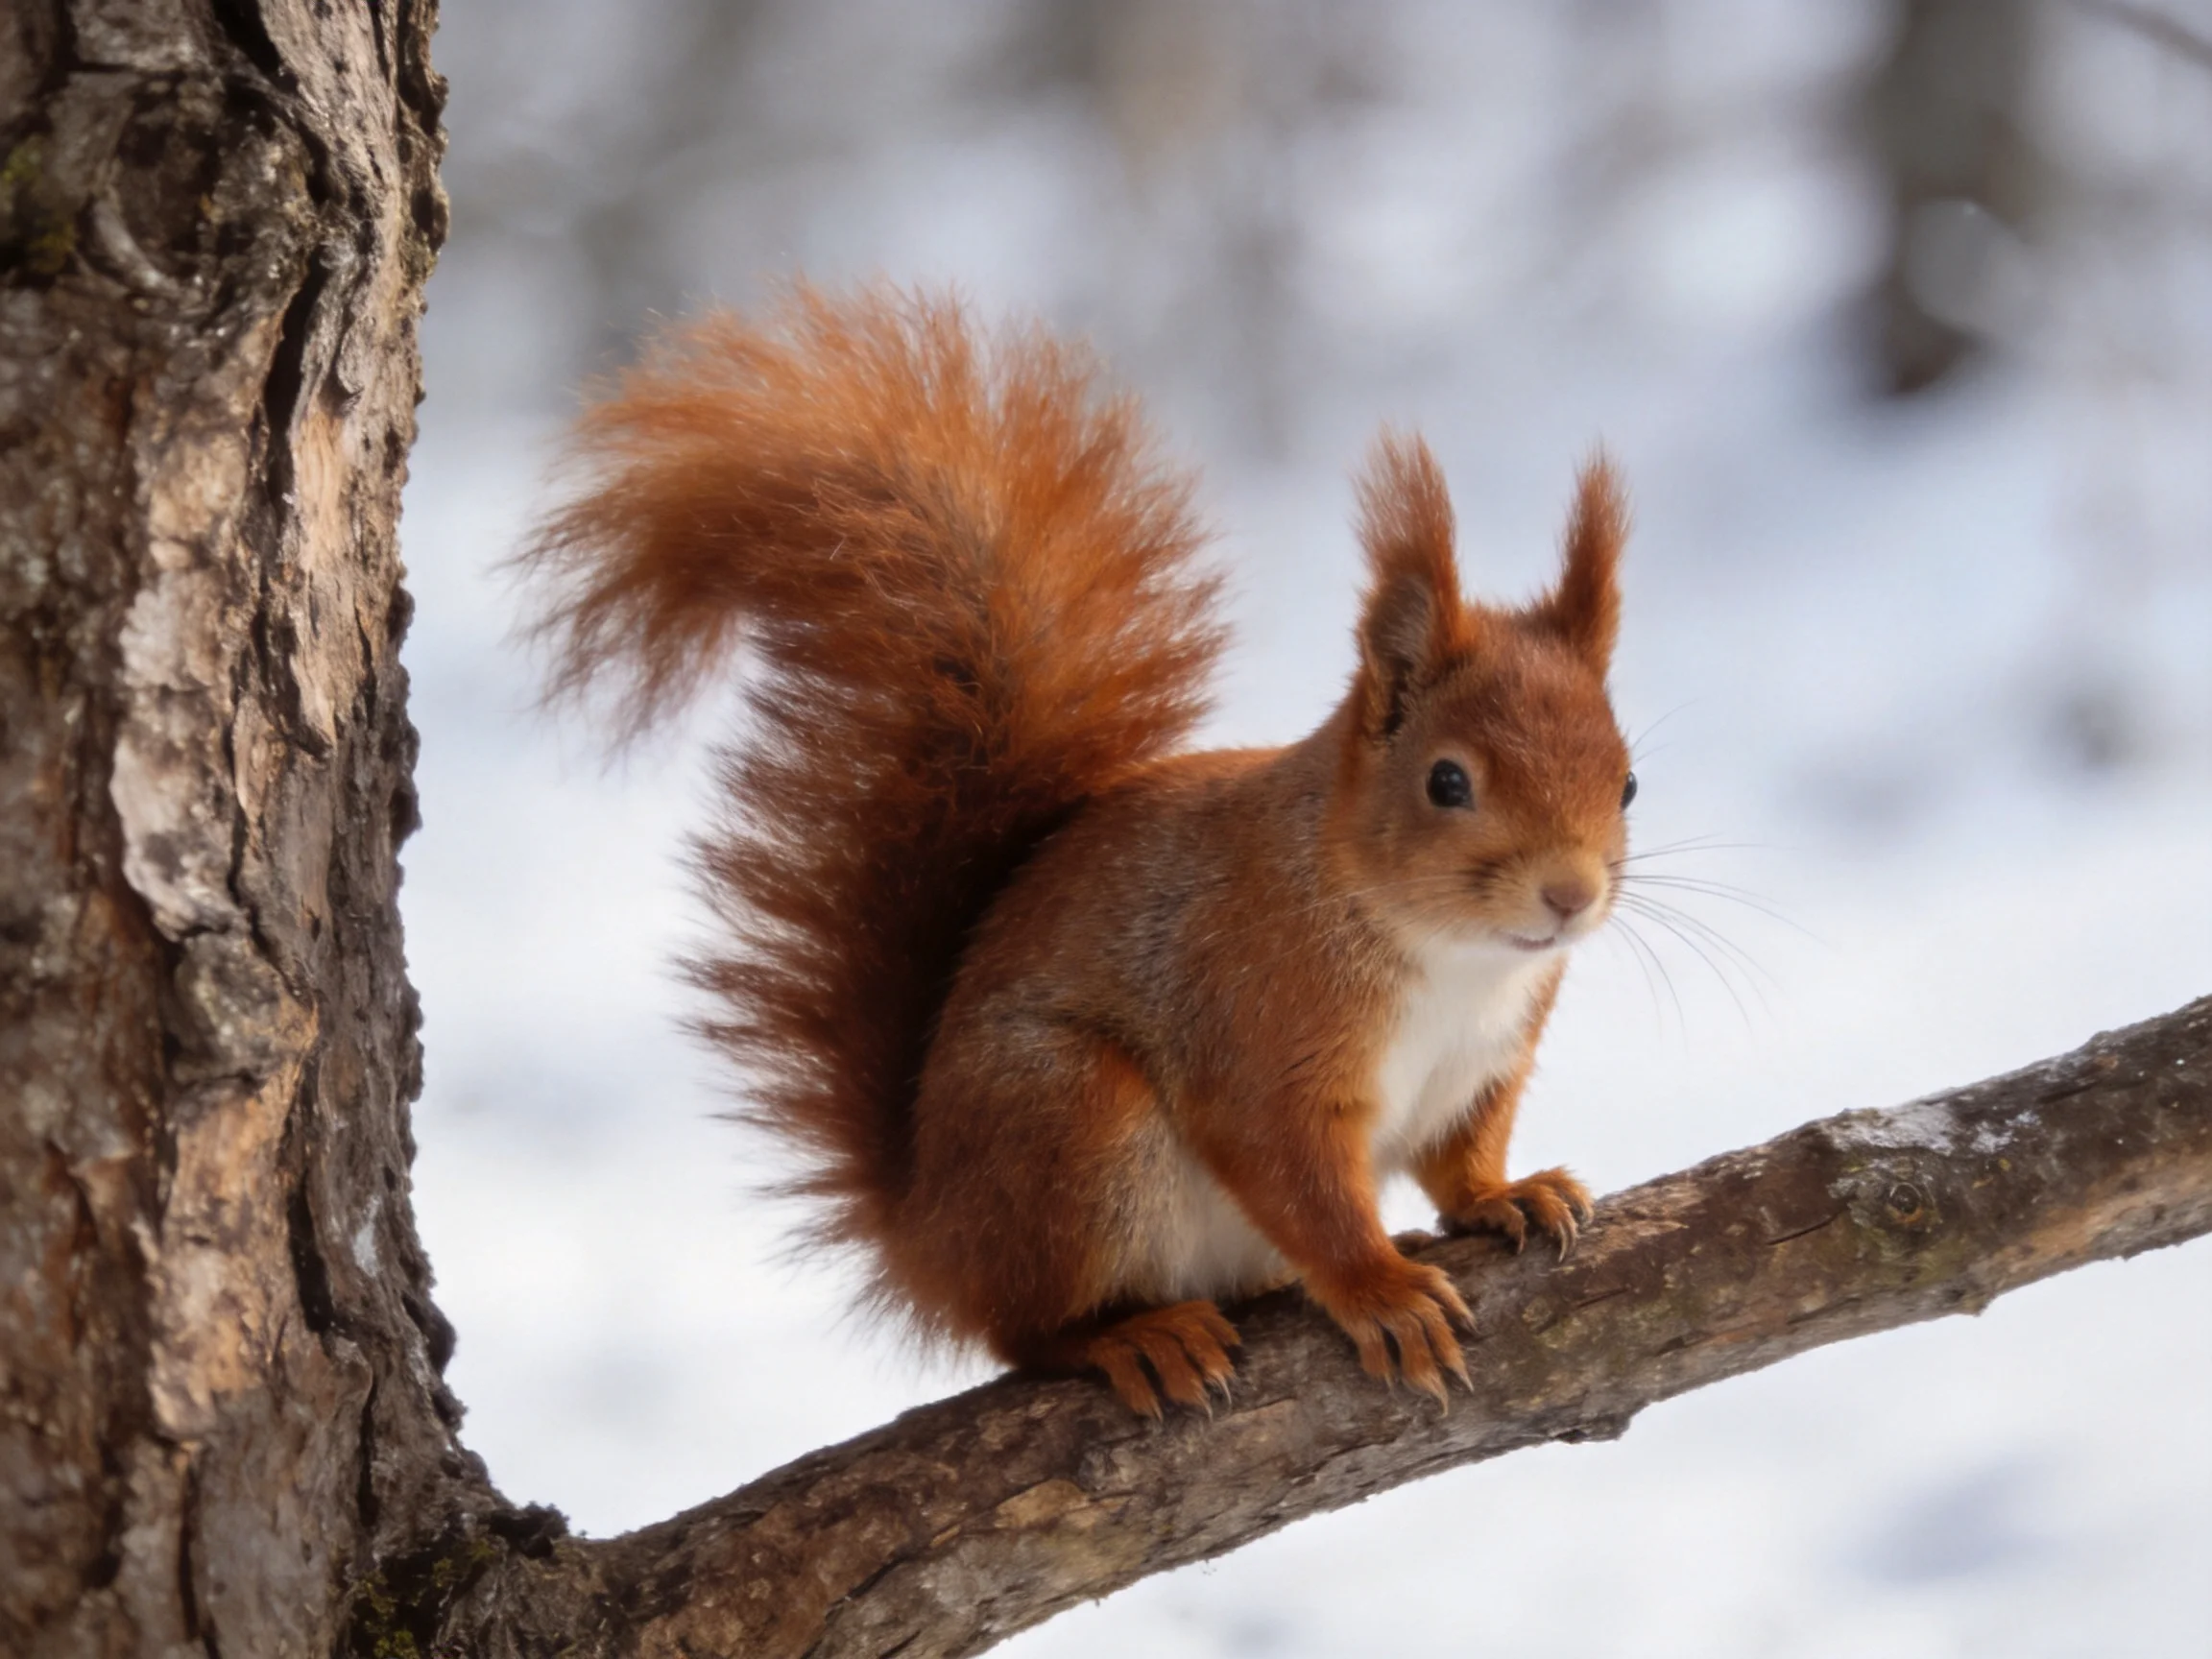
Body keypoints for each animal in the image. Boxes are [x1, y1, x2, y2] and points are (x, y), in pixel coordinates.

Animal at [523, 286, 1633, 1417]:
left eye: (1628, 784)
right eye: (1447, 782)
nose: (1570, 896)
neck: (1450, 956)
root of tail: (929, 1233)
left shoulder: (1484, 1063)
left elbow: (1461, 1156)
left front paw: (1507, 1194)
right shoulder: (1258, 1034)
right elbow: (1299, 1182)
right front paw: (1381, 1288)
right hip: (1074, 1124)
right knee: (1024, 1331)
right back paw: (1132, 1337)